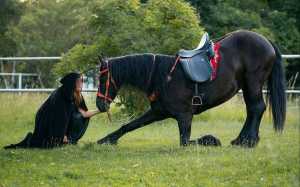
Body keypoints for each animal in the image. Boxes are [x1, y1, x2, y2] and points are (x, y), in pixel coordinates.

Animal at [96, 30, 286, 148]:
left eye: (102, 78)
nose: (99, 105)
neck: (163, 76)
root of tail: (266, 41)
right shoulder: (158, 112)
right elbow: (129, 125)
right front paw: (105, 140)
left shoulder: (184, 116)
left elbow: (185, 141)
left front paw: (212, 140)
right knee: (253, 110)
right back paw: (243, 140)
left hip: (253, 83)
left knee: (256, 108)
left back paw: (247, 141)